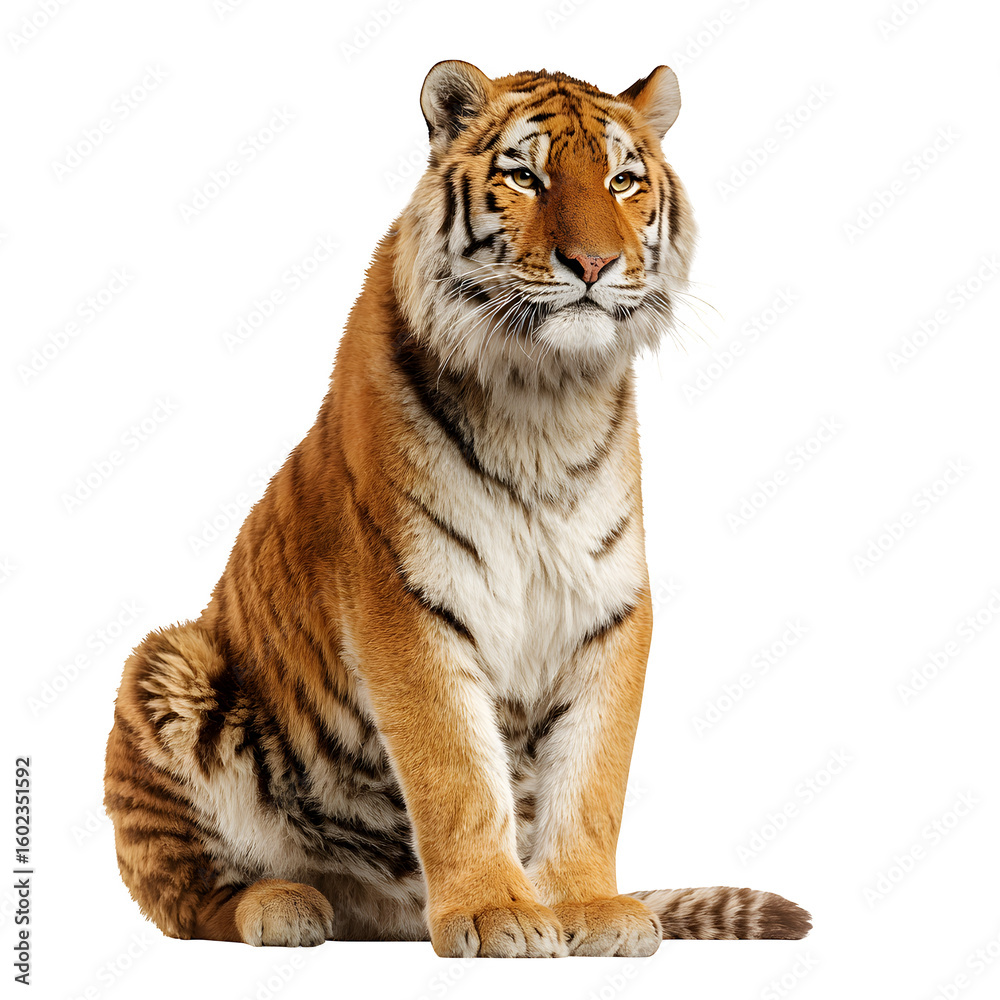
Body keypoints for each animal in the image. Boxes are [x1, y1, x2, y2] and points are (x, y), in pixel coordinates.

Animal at [103, 60, 811, 957]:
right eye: (525, 177)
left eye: (622, 180)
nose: (594, 262)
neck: (546, 399)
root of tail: (379, 908)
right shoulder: (407, 599)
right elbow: (456, 773)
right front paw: (493, 911)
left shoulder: (609, 606)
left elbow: (592, 780)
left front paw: (588, 906)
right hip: (169, 667)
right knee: (185, 900)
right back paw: (283, 904)